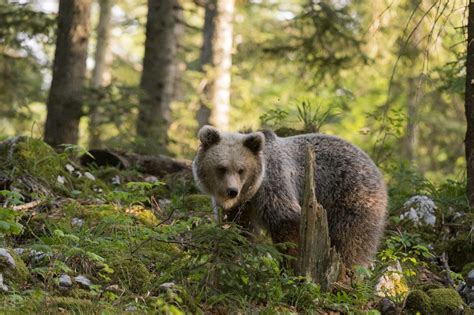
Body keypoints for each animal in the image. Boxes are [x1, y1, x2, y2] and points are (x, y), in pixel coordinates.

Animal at [193, 126, 388, 270]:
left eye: (241, 170)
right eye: (221, 168)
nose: (232, 191)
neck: (252, 190)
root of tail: (375, 168)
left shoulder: (273, 185)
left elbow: (287, 220)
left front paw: (291, 263)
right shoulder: (241, 207)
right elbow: (237, 230)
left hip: (350, 195)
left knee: (350, 239)